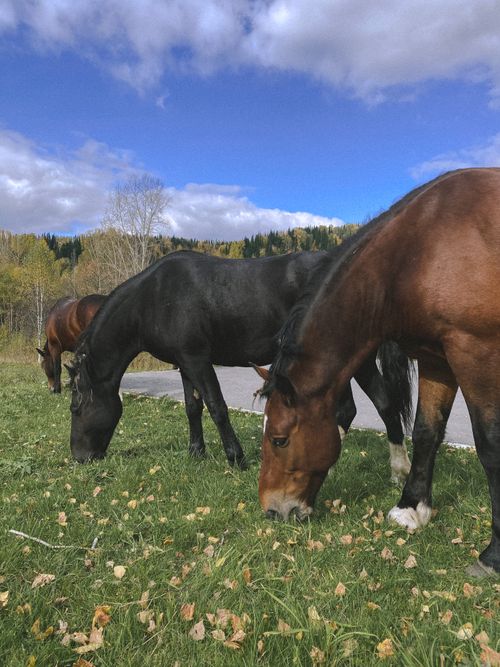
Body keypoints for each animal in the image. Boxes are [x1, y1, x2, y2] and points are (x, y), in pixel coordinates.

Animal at [69, 250, 412, 476]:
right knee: (348, 409)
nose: (79, 457)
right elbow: (192, 407)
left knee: (383, 404)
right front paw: (196, 452)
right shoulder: (184, 363)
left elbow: (216, 406)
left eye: (76, 408)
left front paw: (236, 458)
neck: (154, 297)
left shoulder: (197, 359)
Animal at [257, 167, 500, 577]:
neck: (425, 247)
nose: (271, 510)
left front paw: (493, 555)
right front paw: (411, 508)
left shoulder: (475, 353)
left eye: (279, 440)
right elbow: (426, 433)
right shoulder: (436, 360)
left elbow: (490, 445)